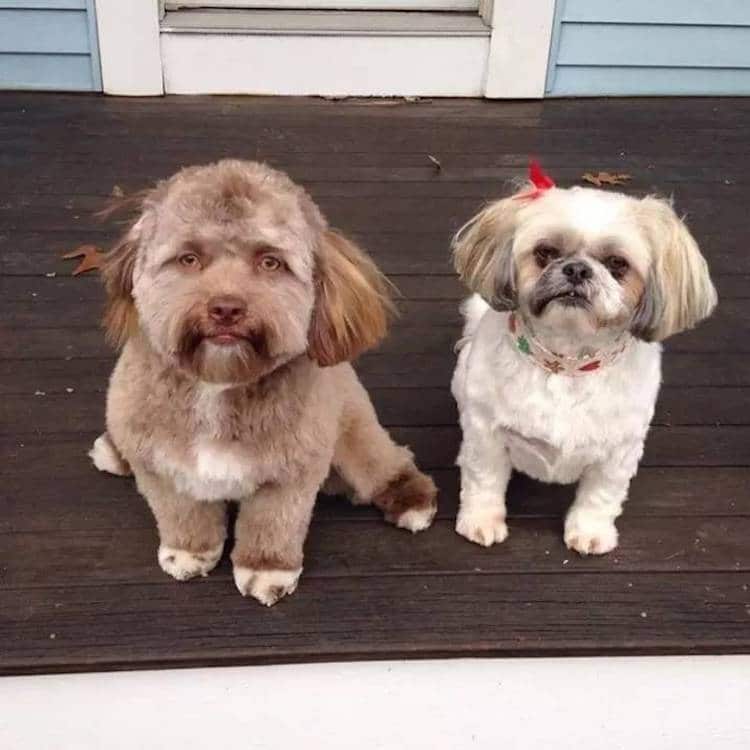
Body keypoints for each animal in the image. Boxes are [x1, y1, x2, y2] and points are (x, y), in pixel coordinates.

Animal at [90, 162, 438, 608]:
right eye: (189, 258)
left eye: (270, 263)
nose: (225, 308)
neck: (217, 385)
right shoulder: (160, 467)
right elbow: (182, 513)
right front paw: (189, 551)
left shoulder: (291, 473)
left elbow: (272, 524)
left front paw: (267, 571)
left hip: (355, 432)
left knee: (386, 463)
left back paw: (410, 499)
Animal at [450, 172, 720, 560]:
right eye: (545, 252)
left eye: (617, 264)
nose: (576, 269)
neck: (567, 363)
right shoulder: (486, 433)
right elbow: (484, 480)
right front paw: (480, 522)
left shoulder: (619, 453)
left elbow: (600, 496)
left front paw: (590, 533)